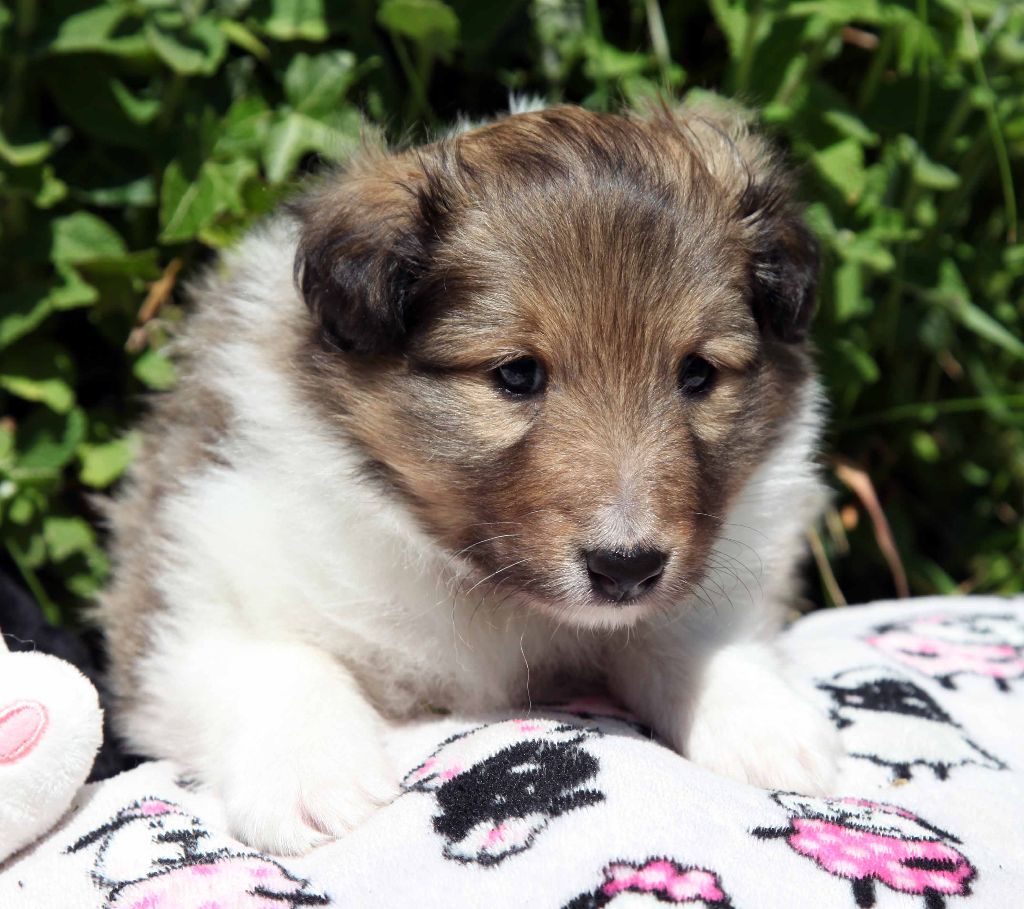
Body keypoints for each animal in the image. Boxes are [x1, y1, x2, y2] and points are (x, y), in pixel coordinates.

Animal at [97, 102, 839, 855]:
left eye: (697, 373)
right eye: (517, 373)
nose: (626, 569)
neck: (488, 590)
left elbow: (686, 631)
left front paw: (764, 723)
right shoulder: (186, 600)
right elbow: (282, 662)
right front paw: (310, 777)